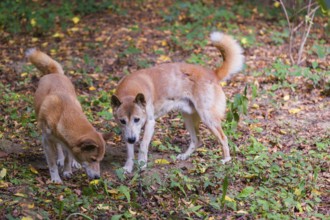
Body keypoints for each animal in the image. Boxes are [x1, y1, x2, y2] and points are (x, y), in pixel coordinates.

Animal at [27, 48, 107, 184]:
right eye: (93, 159)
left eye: (100, 160)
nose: (97, 177)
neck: (64, 114)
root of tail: (54, 74)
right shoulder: (47, 141)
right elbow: (52, 163)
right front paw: (55, 178)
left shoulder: (69, 142)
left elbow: (68, 158)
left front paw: (67, 170)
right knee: (59, 148)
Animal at [112, 31, 244, 173]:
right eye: (122, 121)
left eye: (137, 119)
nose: (132, 139)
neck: (129, 90)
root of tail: (212, 73)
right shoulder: (126, 131)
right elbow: (130, 151)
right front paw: (128, 167)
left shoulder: (150, 123)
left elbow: (142, 145)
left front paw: (142, 164)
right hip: (188, 117)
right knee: (196, 140)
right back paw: (185, 156)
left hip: (208, 118)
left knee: (223, 138)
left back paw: (226, 159)